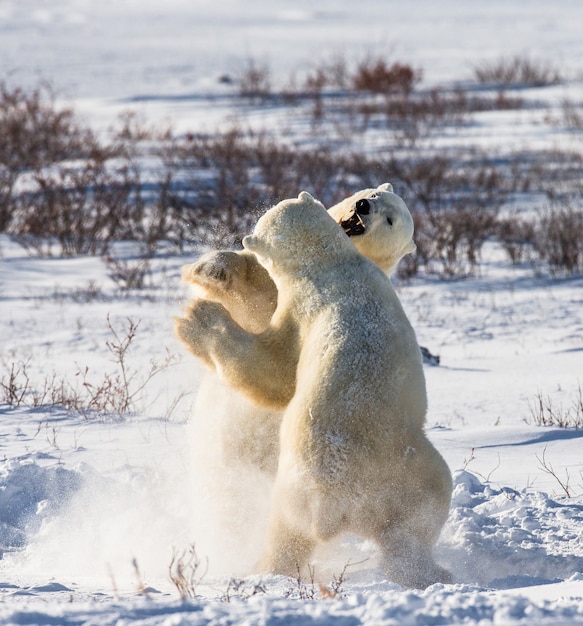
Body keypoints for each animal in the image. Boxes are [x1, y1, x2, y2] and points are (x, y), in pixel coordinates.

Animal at [176, 190, 454, 584]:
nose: (362, 209)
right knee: (411, 524)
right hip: (399, 483)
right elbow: (246, 278)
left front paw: (197, 318)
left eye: (391, 221)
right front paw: (211, 270)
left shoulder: (299, 312)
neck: (330, 265)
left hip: (319, 487)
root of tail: (341, 508)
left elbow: (274, 371)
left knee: (288, 533)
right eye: (370, 195)